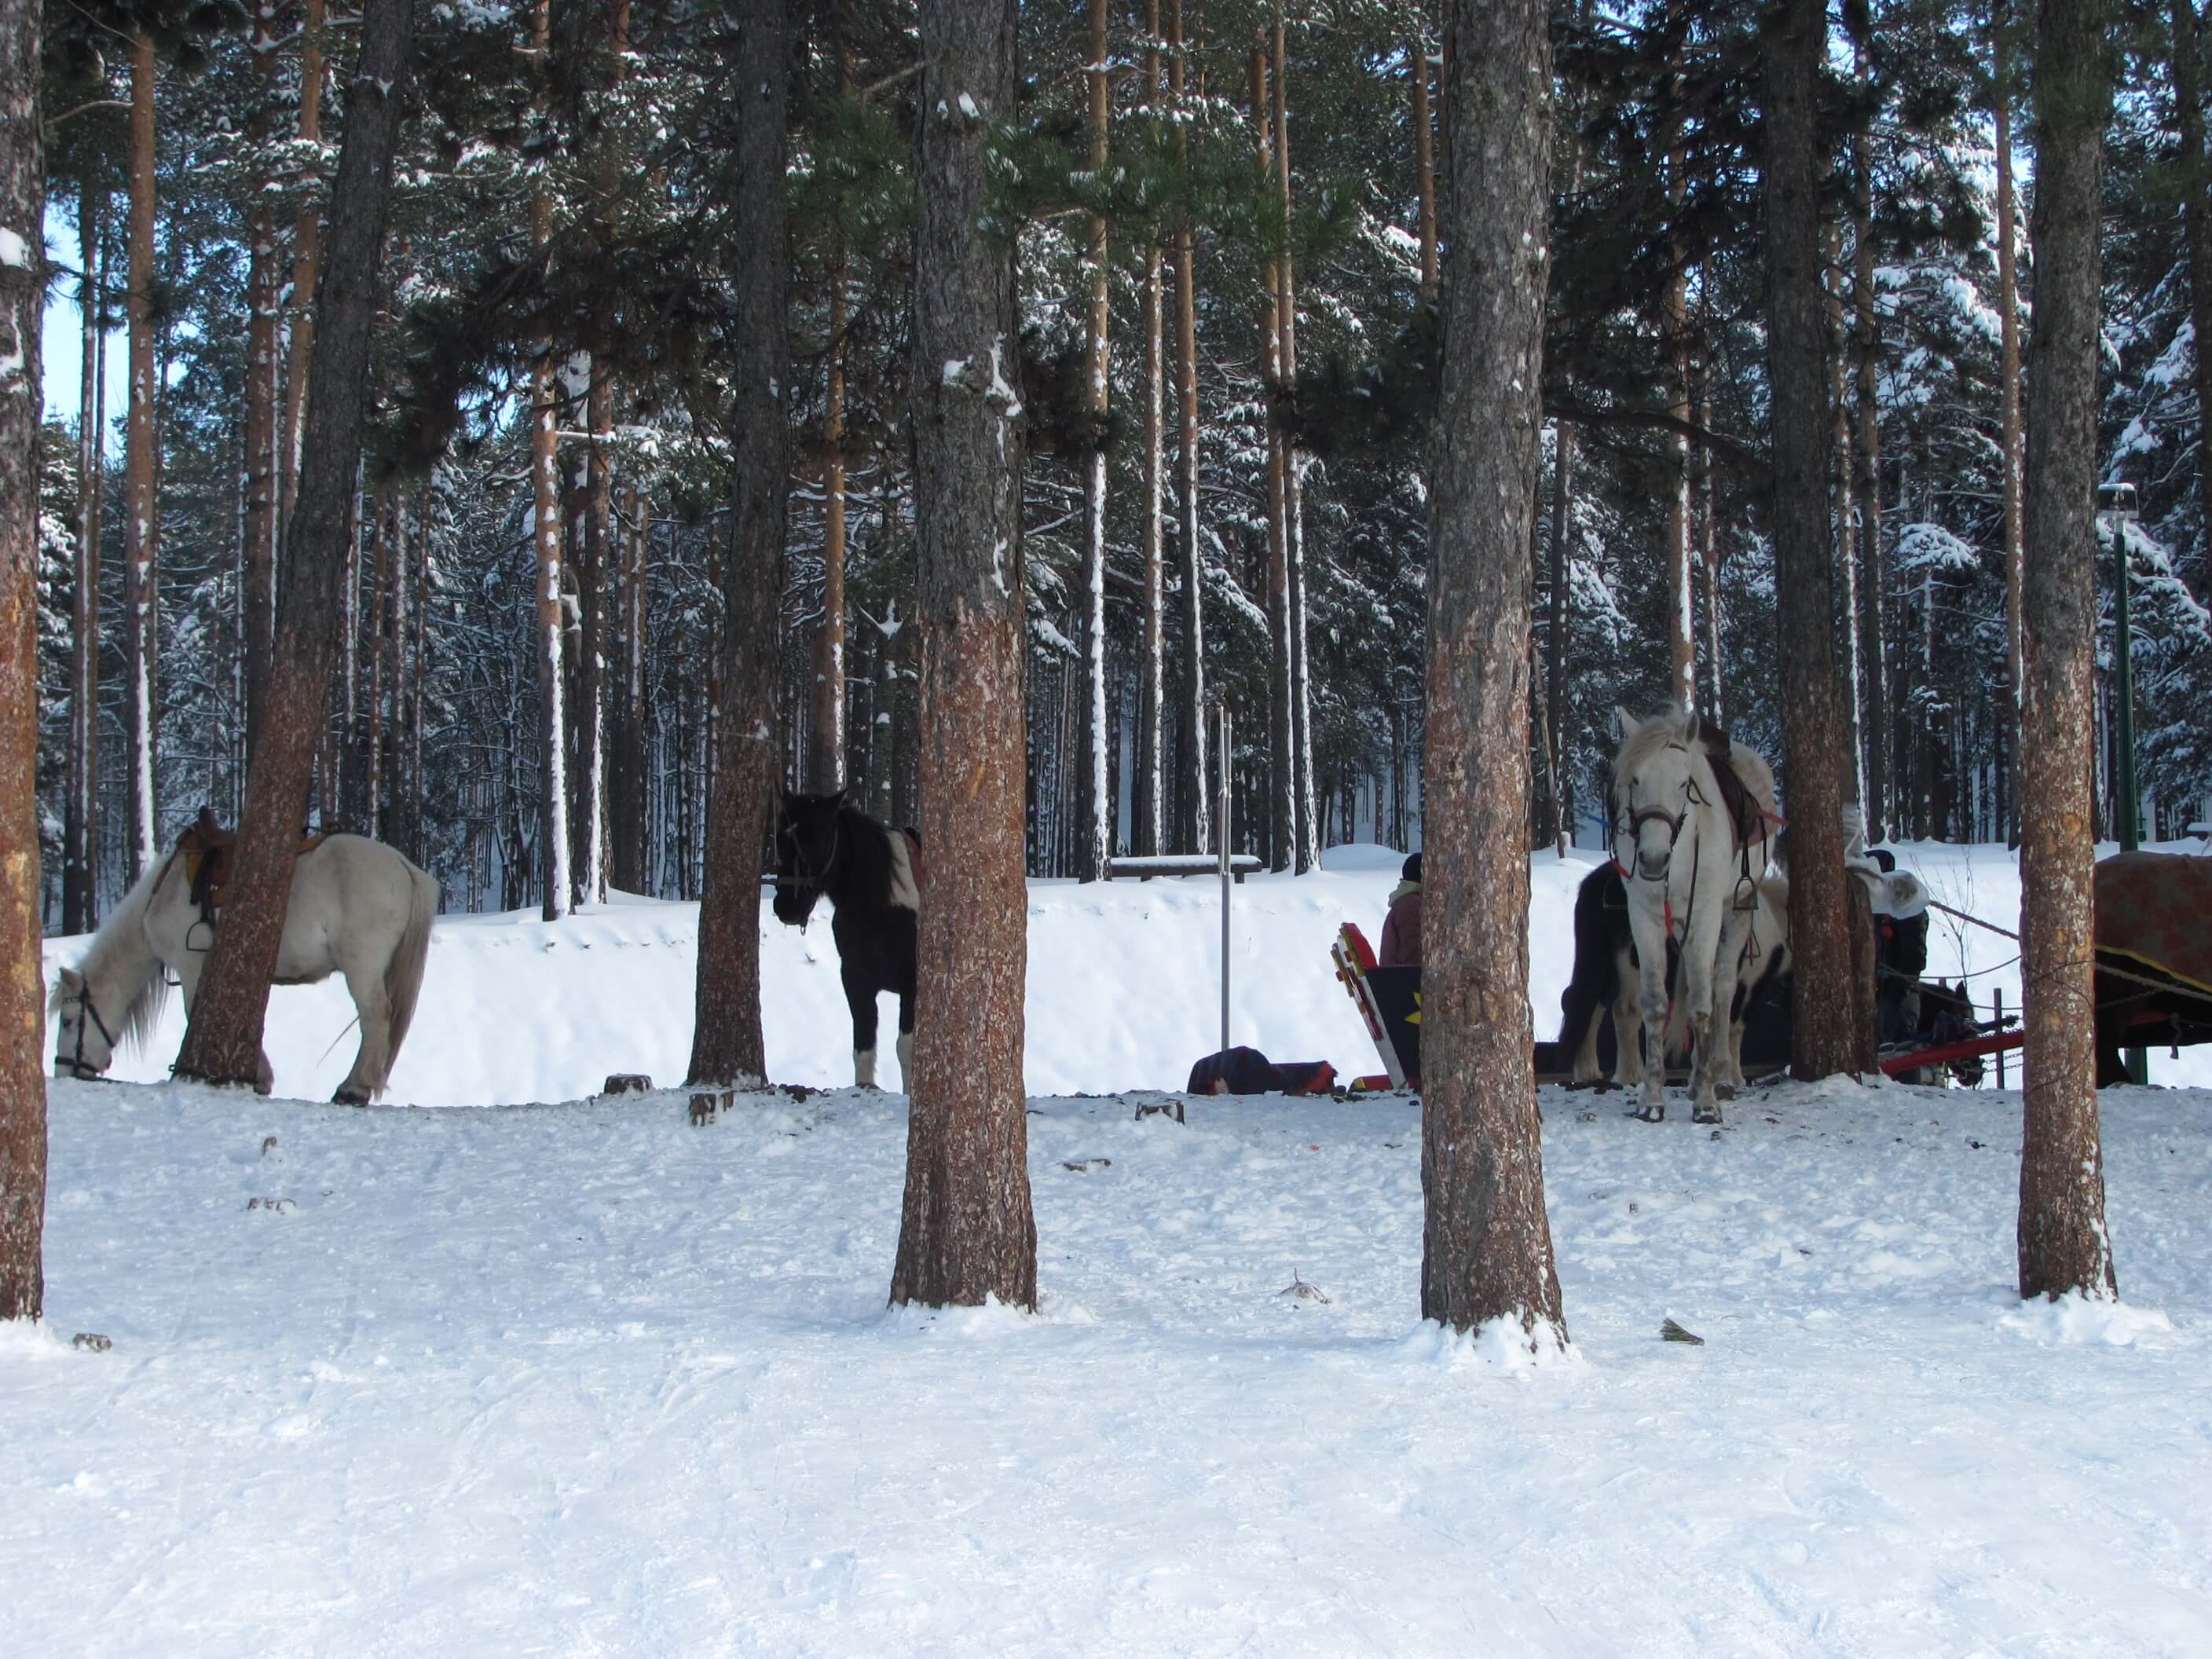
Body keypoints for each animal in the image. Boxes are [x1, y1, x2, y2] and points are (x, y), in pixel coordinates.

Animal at [53, 831, 440, 1106]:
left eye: (68, 1021)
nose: (63, 1072)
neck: (162, 895)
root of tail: (401, 864)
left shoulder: (192, 967)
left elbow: (196, 1013)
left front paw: (255, 1076)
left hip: (362, 966)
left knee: (375, 1017)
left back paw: (353, 1089)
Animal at [774, 792, 920, 1093]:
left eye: (816, 837)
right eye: (780, 839)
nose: (786, 907)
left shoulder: (911, 985)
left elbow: (906, 1049)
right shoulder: (855, 980)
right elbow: (863, 1050)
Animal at [1610, 708, 1778, 1123]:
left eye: (1684, 782)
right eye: (1635, 780)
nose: (1653, 860)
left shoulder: (1705, 915)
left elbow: (1703, 1005)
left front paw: (1706, 1102)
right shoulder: (1645, 918)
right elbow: (1655, 1005)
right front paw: (1651, 1100)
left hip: (1736, 910)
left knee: (1722, 989)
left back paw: (1721, 1076)